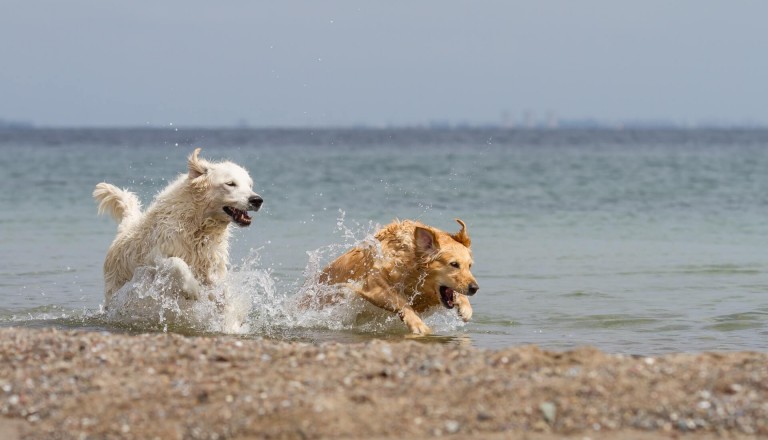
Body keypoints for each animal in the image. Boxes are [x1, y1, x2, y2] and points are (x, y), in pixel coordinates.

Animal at [92, 148, 260, 306]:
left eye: (250, 185)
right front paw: (192, 288)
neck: (197, 223)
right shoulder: (154, 257)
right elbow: (176, 262)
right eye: (230, 183)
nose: (257, 200)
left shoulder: (213, 264)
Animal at [320, 218, 480, 336]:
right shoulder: (373, 283)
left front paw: (466, 308)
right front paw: (418, 324)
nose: (475, 288)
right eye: (454, 264)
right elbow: (400, 301)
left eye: (469, 266)